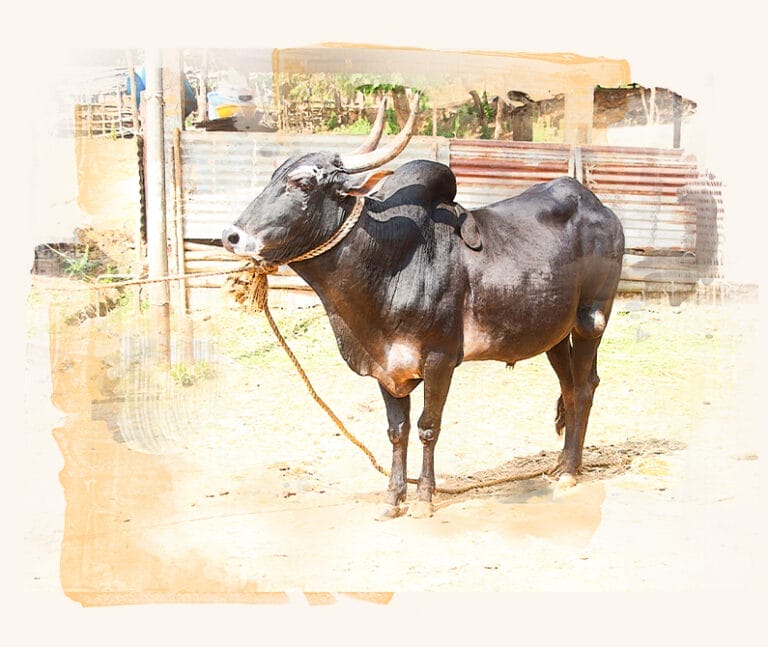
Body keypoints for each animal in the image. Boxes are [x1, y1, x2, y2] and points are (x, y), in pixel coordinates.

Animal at [222, 95, 625, 519]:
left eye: (302, 183)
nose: (232, 236)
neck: (393, 259)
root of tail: (600, 208)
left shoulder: (440, 359)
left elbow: (428, 427)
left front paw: (424, 497)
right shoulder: (385, 369)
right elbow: (396, 432)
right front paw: (392, 497)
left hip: (591, 320)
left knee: (584, 387)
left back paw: (570, 471)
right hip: (553, 334)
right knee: (568, 388)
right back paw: (563, 463)